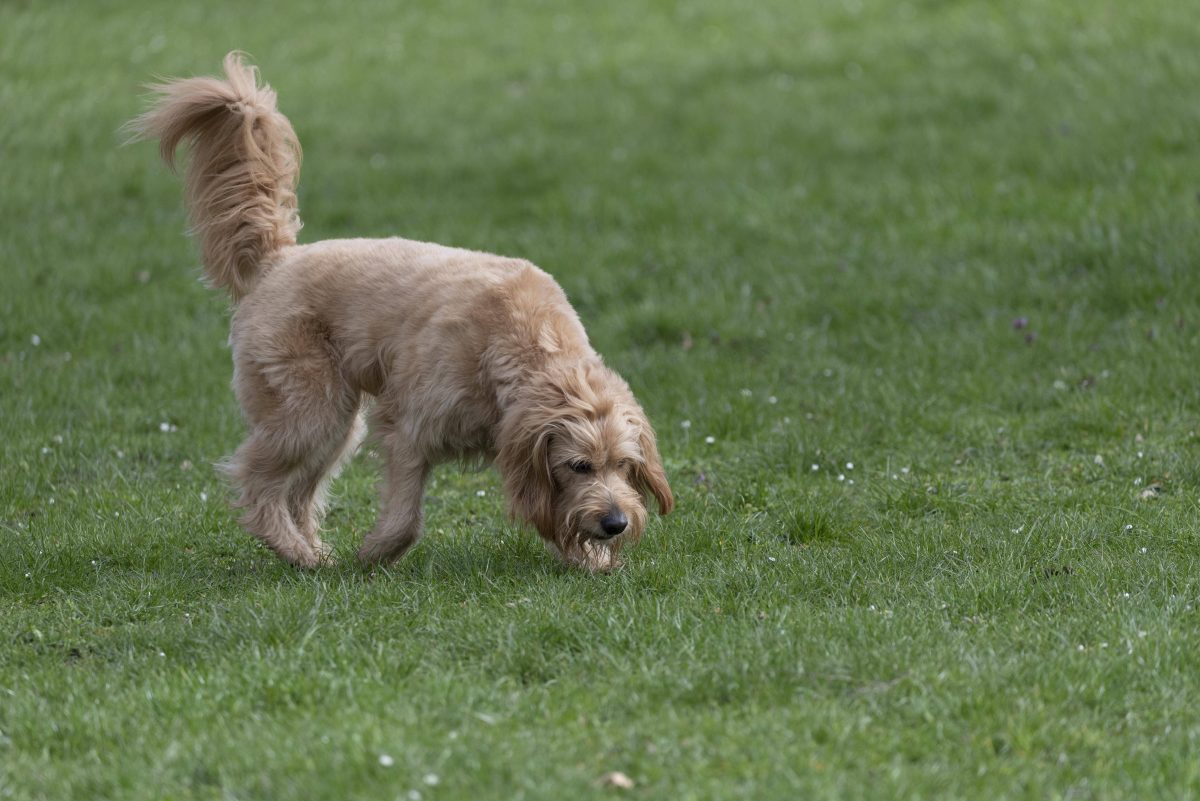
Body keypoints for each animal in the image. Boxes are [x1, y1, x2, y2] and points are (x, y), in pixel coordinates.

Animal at [133, 53, 676, 573]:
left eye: (624, 465)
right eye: (579, 465)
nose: (616, 523)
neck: (519, 341)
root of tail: (279, 259)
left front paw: (591, 561)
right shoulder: (408, 430)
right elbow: (405, 519)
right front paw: (375, 556)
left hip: (336, 426)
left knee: (298, 494)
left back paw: (312, 553)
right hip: (310, 411)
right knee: (256, 480)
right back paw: (297, 552)